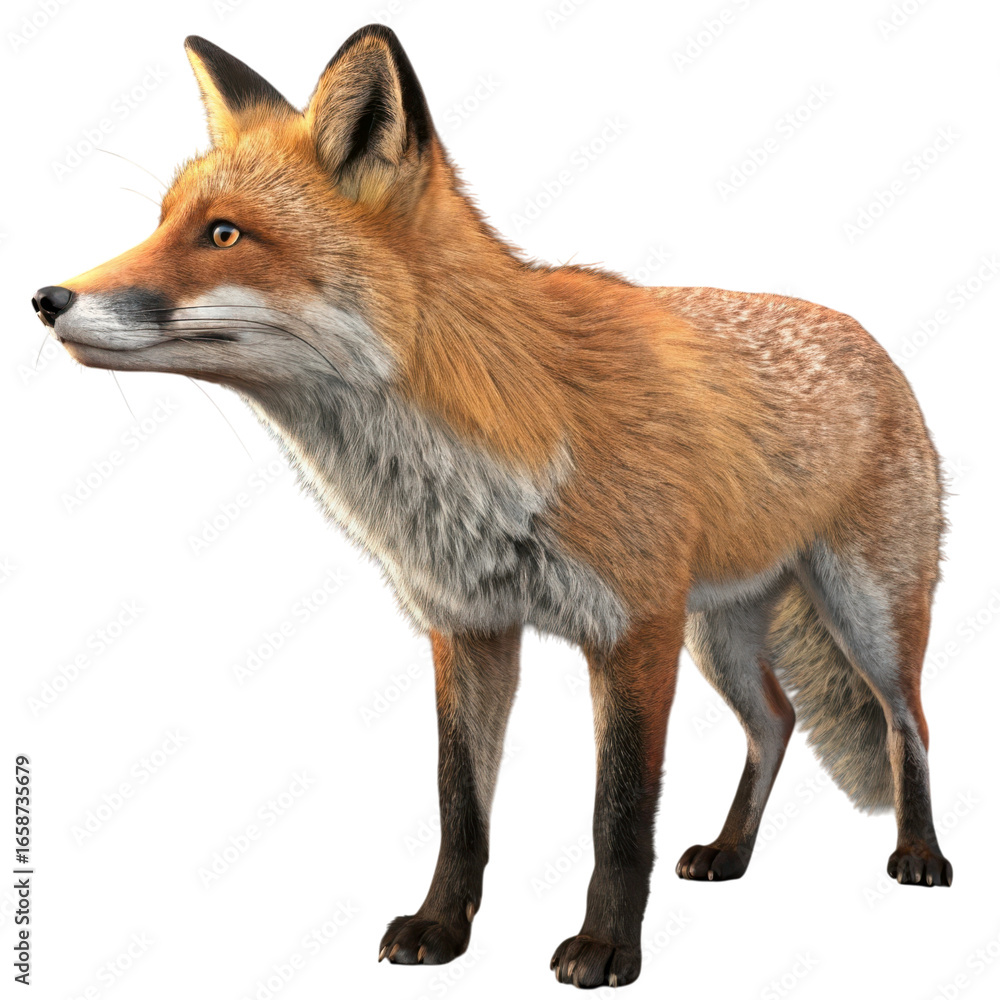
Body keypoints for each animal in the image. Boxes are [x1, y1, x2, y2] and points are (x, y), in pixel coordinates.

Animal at [32, 24, 951, 989]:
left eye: (223, 234)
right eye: (161, 223)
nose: (47, 299)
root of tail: (867, 336)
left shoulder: (633, 632)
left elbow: (619, 815)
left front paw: (606, 948)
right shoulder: (468, 627)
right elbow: (459, 805)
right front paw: (442, 929)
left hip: (866, 615)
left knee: (909, 724)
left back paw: (921, 855)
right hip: (721, 633)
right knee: (777, 722)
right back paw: (731, 852)